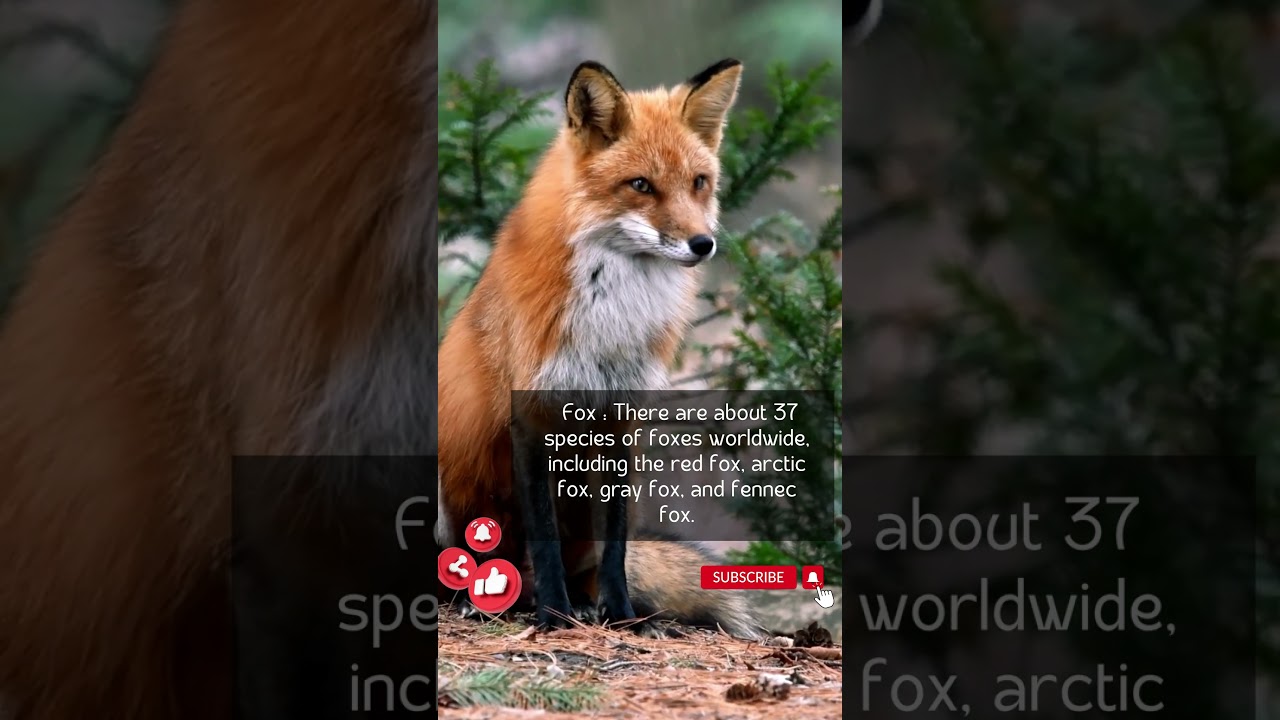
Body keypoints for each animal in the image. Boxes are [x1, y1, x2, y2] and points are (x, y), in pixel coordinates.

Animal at [436, 58, 768, 641]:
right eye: (640, 185)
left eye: (698, 183)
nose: (703, 244)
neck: (609, 318)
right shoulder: (533, 413)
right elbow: (544, 538)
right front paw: (553, 616)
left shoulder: (618, 414)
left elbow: (612, 546)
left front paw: (620, 616)